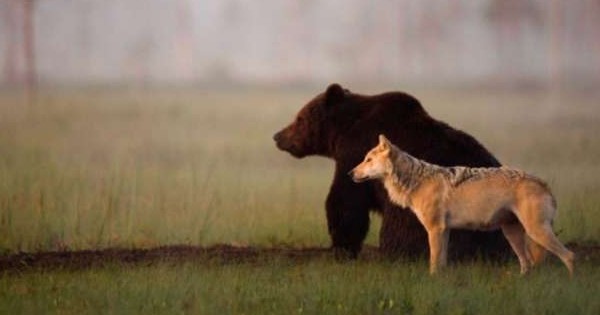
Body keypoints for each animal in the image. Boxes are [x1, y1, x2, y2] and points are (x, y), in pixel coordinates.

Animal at [274, 83, 508, 260]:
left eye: (299, 118)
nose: (278, 136)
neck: (343, 131)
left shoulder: (355, 153)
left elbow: (346, 201)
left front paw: (341, 247)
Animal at [350, 136, 576, 276]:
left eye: (368, 159)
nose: (350, 173)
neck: (416, 180)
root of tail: (543, 183)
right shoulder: (444, 231)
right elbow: (441, 262)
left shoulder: (435, 229)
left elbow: (434, 262)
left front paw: (432, 281)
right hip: (513, 234)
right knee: (527, 264)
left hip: (536, 232)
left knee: (569, 256)